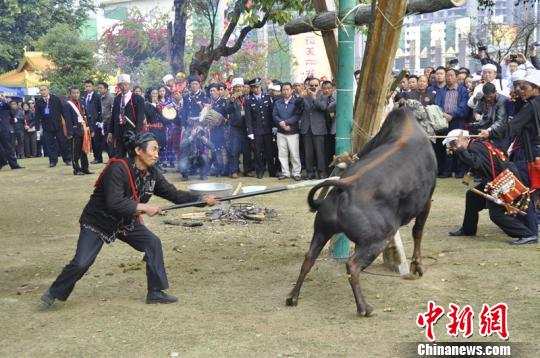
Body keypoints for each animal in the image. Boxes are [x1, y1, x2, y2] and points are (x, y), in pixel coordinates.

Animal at [284, 107, 436, 314]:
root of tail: (344, 187)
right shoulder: (426, 200)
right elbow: (418, 232)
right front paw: (417, 266)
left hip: (322, 231)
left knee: (309, 259)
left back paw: (293, 296)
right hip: (376, 239)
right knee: (353, 266)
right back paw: (364, 308)